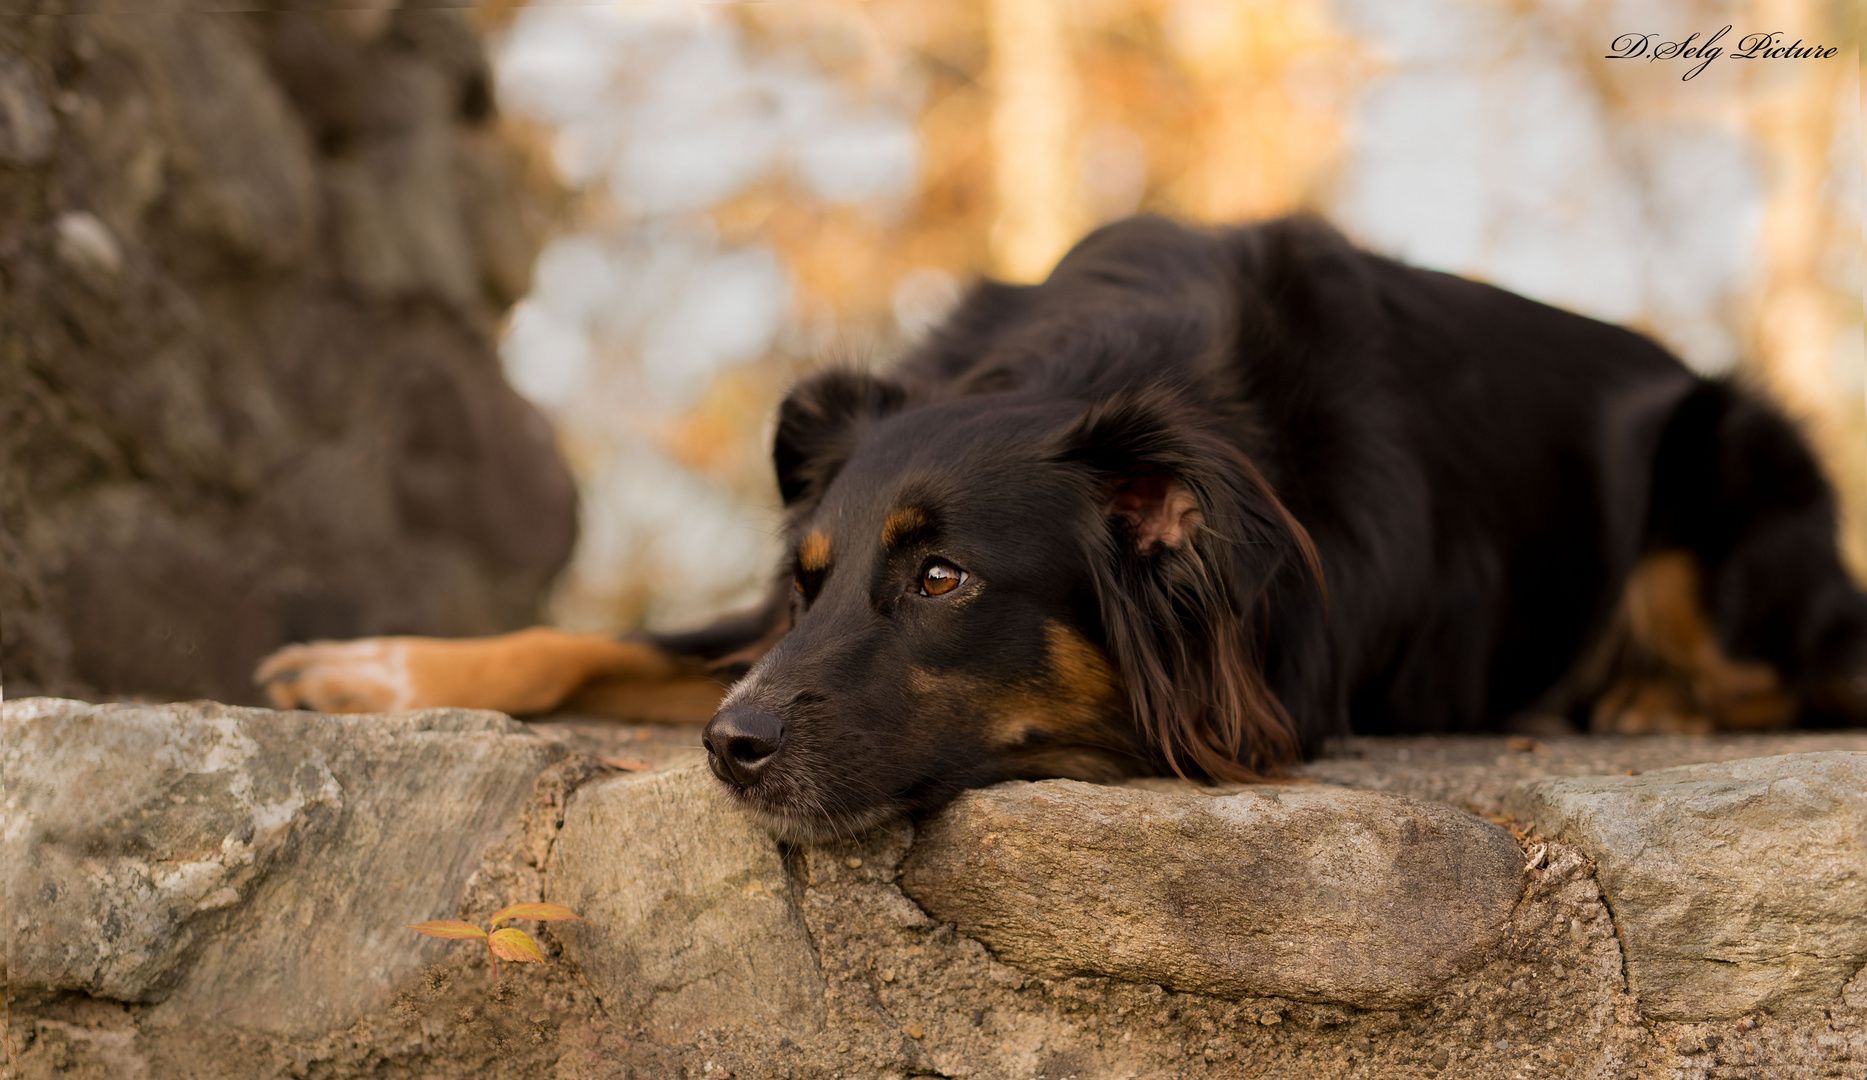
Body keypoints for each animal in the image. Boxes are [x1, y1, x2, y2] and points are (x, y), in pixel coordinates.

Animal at [259, 218, 1867, 837]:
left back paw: (1648, 696)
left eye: (943, 578)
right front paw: (368, 671)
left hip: (1730, 470)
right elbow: (587, 642)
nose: (728, 749)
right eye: (810, 585)